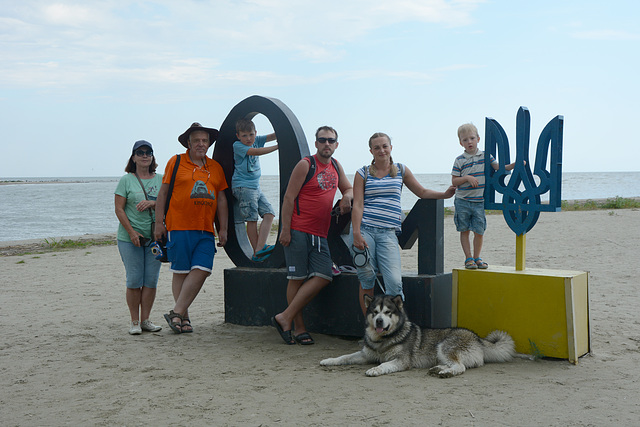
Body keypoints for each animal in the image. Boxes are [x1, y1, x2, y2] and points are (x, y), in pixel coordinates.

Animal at [320, 294, 516, 378]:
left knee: (460, 367)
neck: (383, 340)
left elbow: (384, 364)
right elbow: (344, 357)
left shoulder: (401, 361)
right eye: (375, 312)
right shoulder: (365, 355)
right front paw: (329, 360)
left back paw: (446, 373)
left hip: (444, 347)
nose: (379, 321)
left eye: (388, 312)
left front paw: (375, 370)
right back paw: (438, 369)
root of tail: (477, 338)